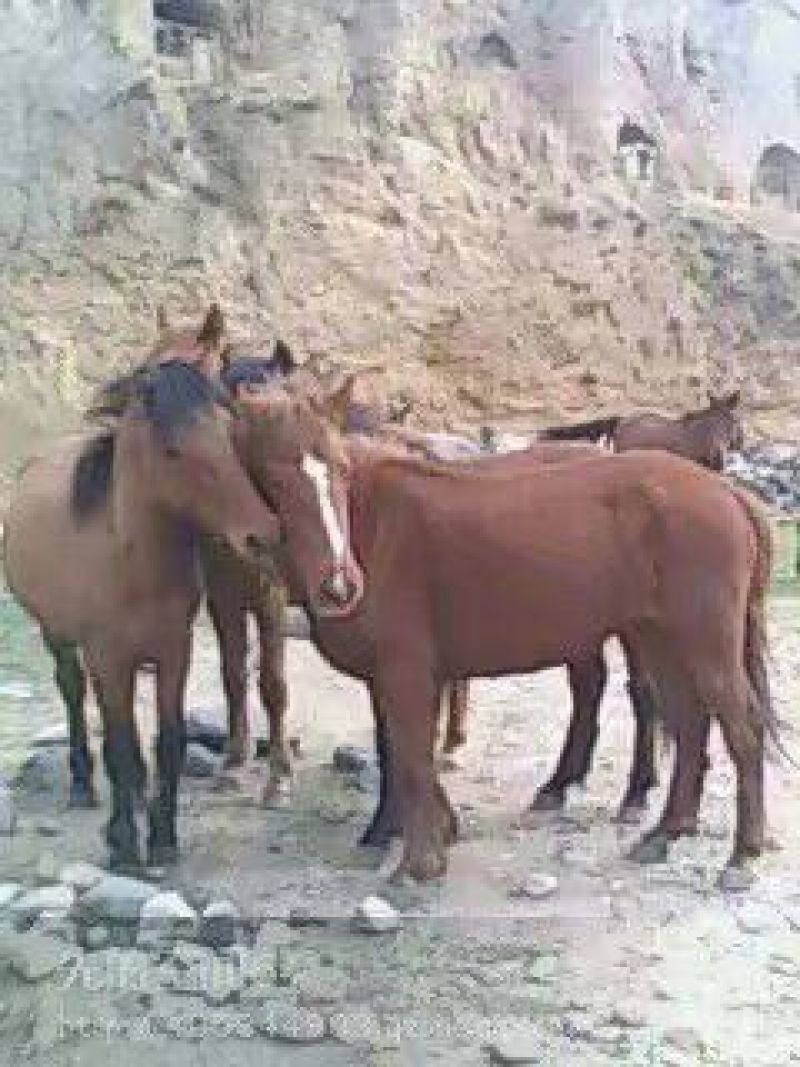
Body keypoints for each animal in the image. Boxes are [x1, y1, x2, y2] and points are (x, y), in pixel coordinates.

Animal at [3, 318, 280, 870]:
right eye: (174, 451)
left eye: (231, 434)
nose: (261, 535)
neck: (132, 564)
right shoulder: (110, 657)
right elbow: (122, 747)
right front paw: (127, 845)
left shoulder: (174, 652)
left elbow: (166, 741)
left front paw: (164, 839)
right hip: (58, 636)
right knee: (74, 695)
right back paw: (83, 786)